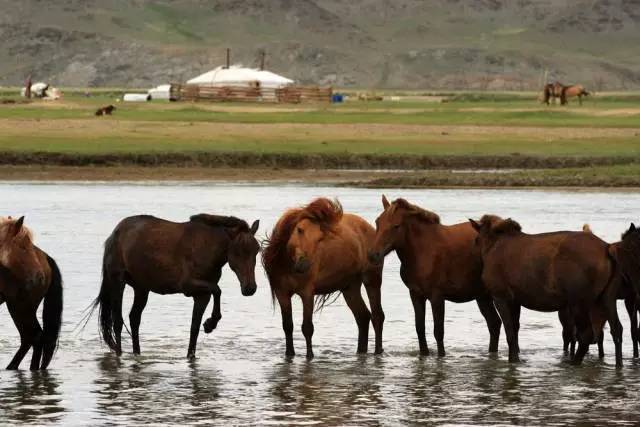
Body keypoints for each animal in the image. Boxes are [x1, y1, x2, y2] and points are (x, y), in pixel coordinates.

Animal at [90, 216, 260, 360]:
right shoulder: (188, 285)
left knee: (134, 318)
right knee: (117, 321)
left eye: (257, 249)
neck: (207, 247)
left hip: (141, 288)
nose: (250, 288)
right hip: (118, 281)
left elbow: (194, 328)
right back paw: (119, 354)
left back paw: (137, 353)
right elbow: (218, 290)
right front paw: (210, 324)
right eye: (237, 251)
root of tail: (114, 234)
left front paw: (193, 351)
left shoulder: (202, 295)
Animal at [262, 199, 382, 360]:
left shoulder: (307, 293)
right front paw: (289, 354)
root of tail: (370, 228)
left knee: (377, 316)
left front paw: (310, 356)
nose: (303, 264)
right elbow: (287, 326)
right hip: (350, 287)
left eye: (320, 238)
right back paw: (360, 352)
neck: (288, 265)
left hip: (372, 279)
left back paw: (378, 351)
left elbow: (307, 327)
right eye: (299, 229)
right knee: (362, 317)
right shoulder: (282, 293)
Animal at [368, 197, 502, 358]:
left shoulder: (437, 296)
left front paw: (441, 356)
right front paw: (424, 354)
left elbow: (438, 331)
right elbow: (419, 328)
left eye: (396, 226)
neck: (421, 253)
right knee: (494, 324)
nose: (373, 255)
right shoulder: (416, 294)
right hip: (482, 296)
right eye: (377, 222)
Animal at [468, 216, 624, 366]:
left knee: (585, 335)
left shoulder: (501, 297)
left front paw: (513, 359)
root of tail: (607, 248)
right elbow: (516, 329)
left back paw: (574, 362)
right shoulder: (516, 301)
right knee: (616, 330)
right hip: (606, 298)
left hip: (579, 303)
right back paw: (618, 364)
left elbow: (510, 332)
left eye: (476, 240)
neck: (493, 246)